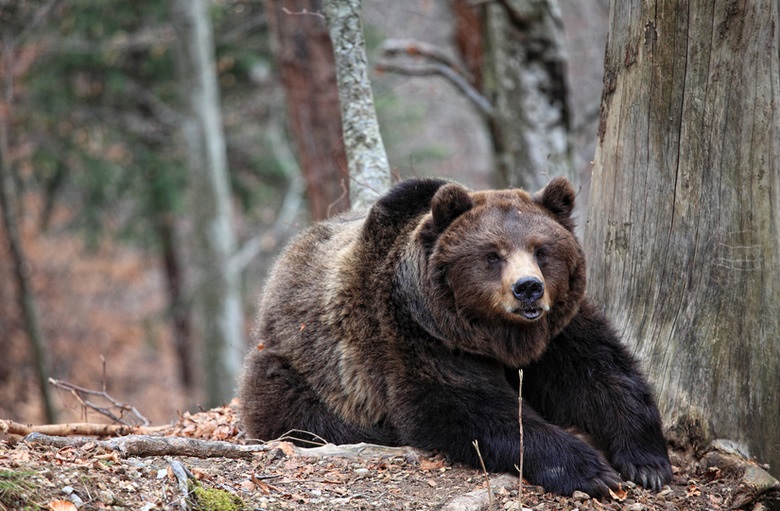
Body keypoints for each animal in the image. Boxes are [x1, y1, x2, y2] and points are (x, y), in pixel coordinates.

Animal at [238, 178, 672, 498]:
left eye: (541, 250)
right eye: (493, 254)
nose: (528, 288)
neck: (497, 337)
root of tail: (282, 266)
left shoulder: (557, 330)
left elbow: (600, 373)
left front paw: (647, 462)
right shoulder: (416, 335)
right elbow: (464, 407)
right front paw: (590, 470)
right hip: (302, 365)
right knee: (306, 416)